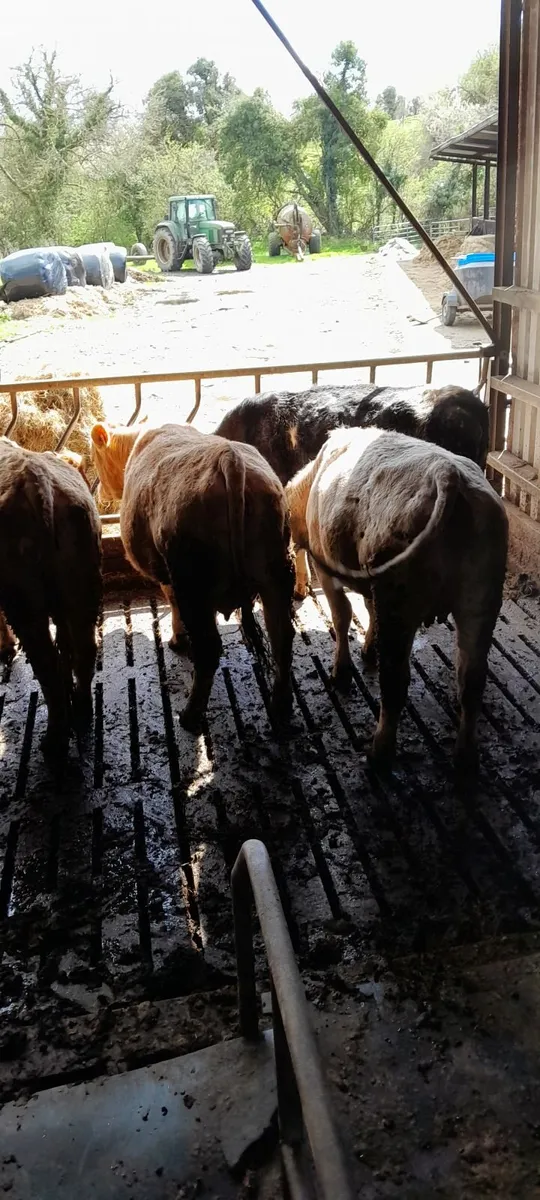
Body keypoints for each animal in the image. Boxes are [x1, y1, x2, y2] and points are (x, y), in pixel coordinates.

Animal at [0, 438, 102, 760]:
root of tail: (36, 480)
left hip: (24, 598)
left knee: (44, 664)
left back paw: (54, 739)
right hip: (83, 583)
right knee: (84, 649)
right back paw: (81, 707)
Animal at [90, 422, 295, 732]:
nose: (101, 493)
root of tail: (229, 457)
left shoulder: (168, 576)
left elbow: (171, 602)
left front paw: (178, 638)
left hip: (192, 581)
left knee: (209, 649)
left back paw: (190, 715)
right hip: (276, 572)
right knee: (281, 634)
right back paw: (281, 706)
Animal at [285, 427, 508, 772]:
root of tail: (448, 474)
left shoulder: (329, 570)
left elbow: (343, 615)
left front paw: (342, 670)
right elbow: (367, 609)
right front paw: (367, 648)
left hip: (400, 600)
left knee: (394, 682)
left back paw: (379, 753)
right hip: (481, 601)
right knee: (471, 680)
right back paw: (465, 758)